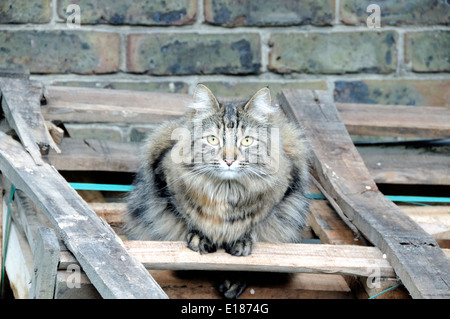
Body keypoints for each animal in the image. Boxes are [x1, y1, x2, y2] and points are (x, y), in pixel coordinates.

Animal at [125, 85, 312, 300]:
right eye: (213, 140)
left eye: (247, 141)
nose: (229, 160)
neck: (225, 190)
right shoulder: (165, 180)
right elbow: (187, 215)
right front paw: (201, 237)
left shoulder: (283, 191)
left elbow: (254, 222)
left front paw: (240, 241)